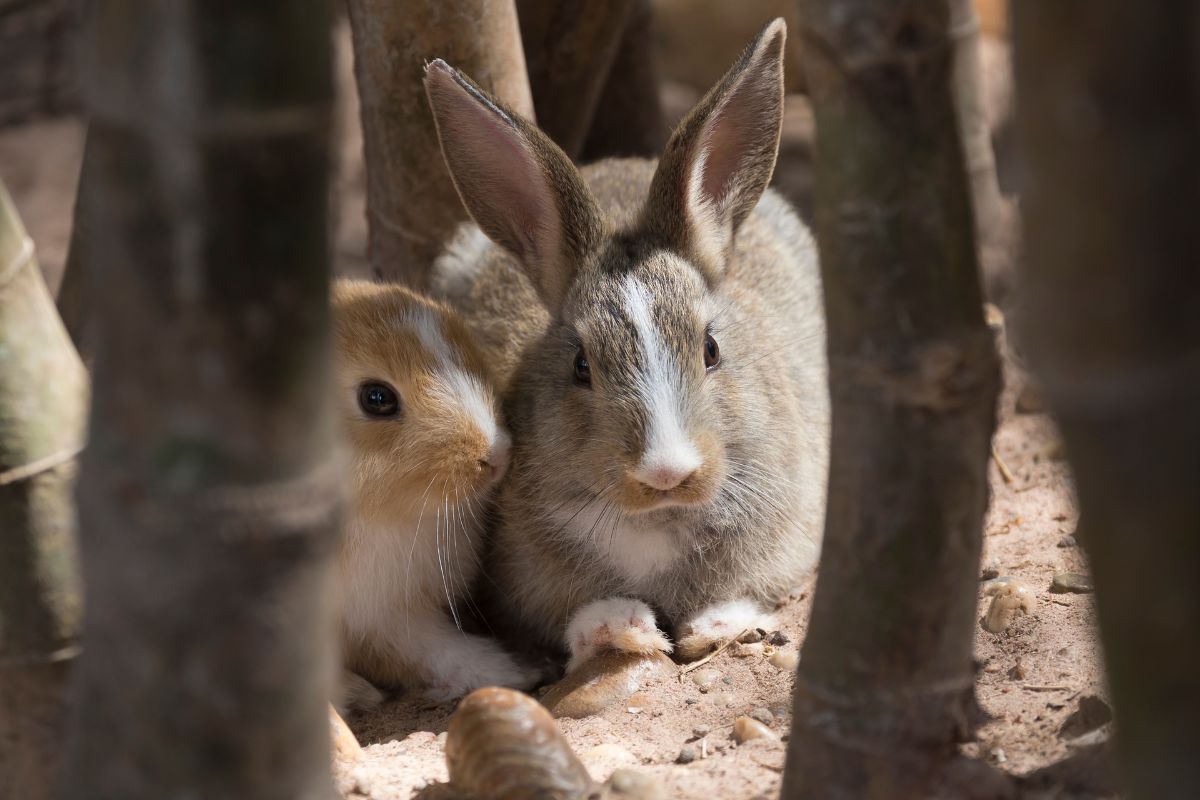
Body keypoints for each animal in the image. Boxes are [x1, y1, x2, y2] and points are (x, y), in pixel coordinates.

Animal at [424, 17, 828, 671]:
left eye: (711, 349)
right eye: (579, 365)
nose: (666, 471)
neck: (657, 519)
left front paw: (715, 625)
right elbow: (577, 618)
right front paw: (628, 628)